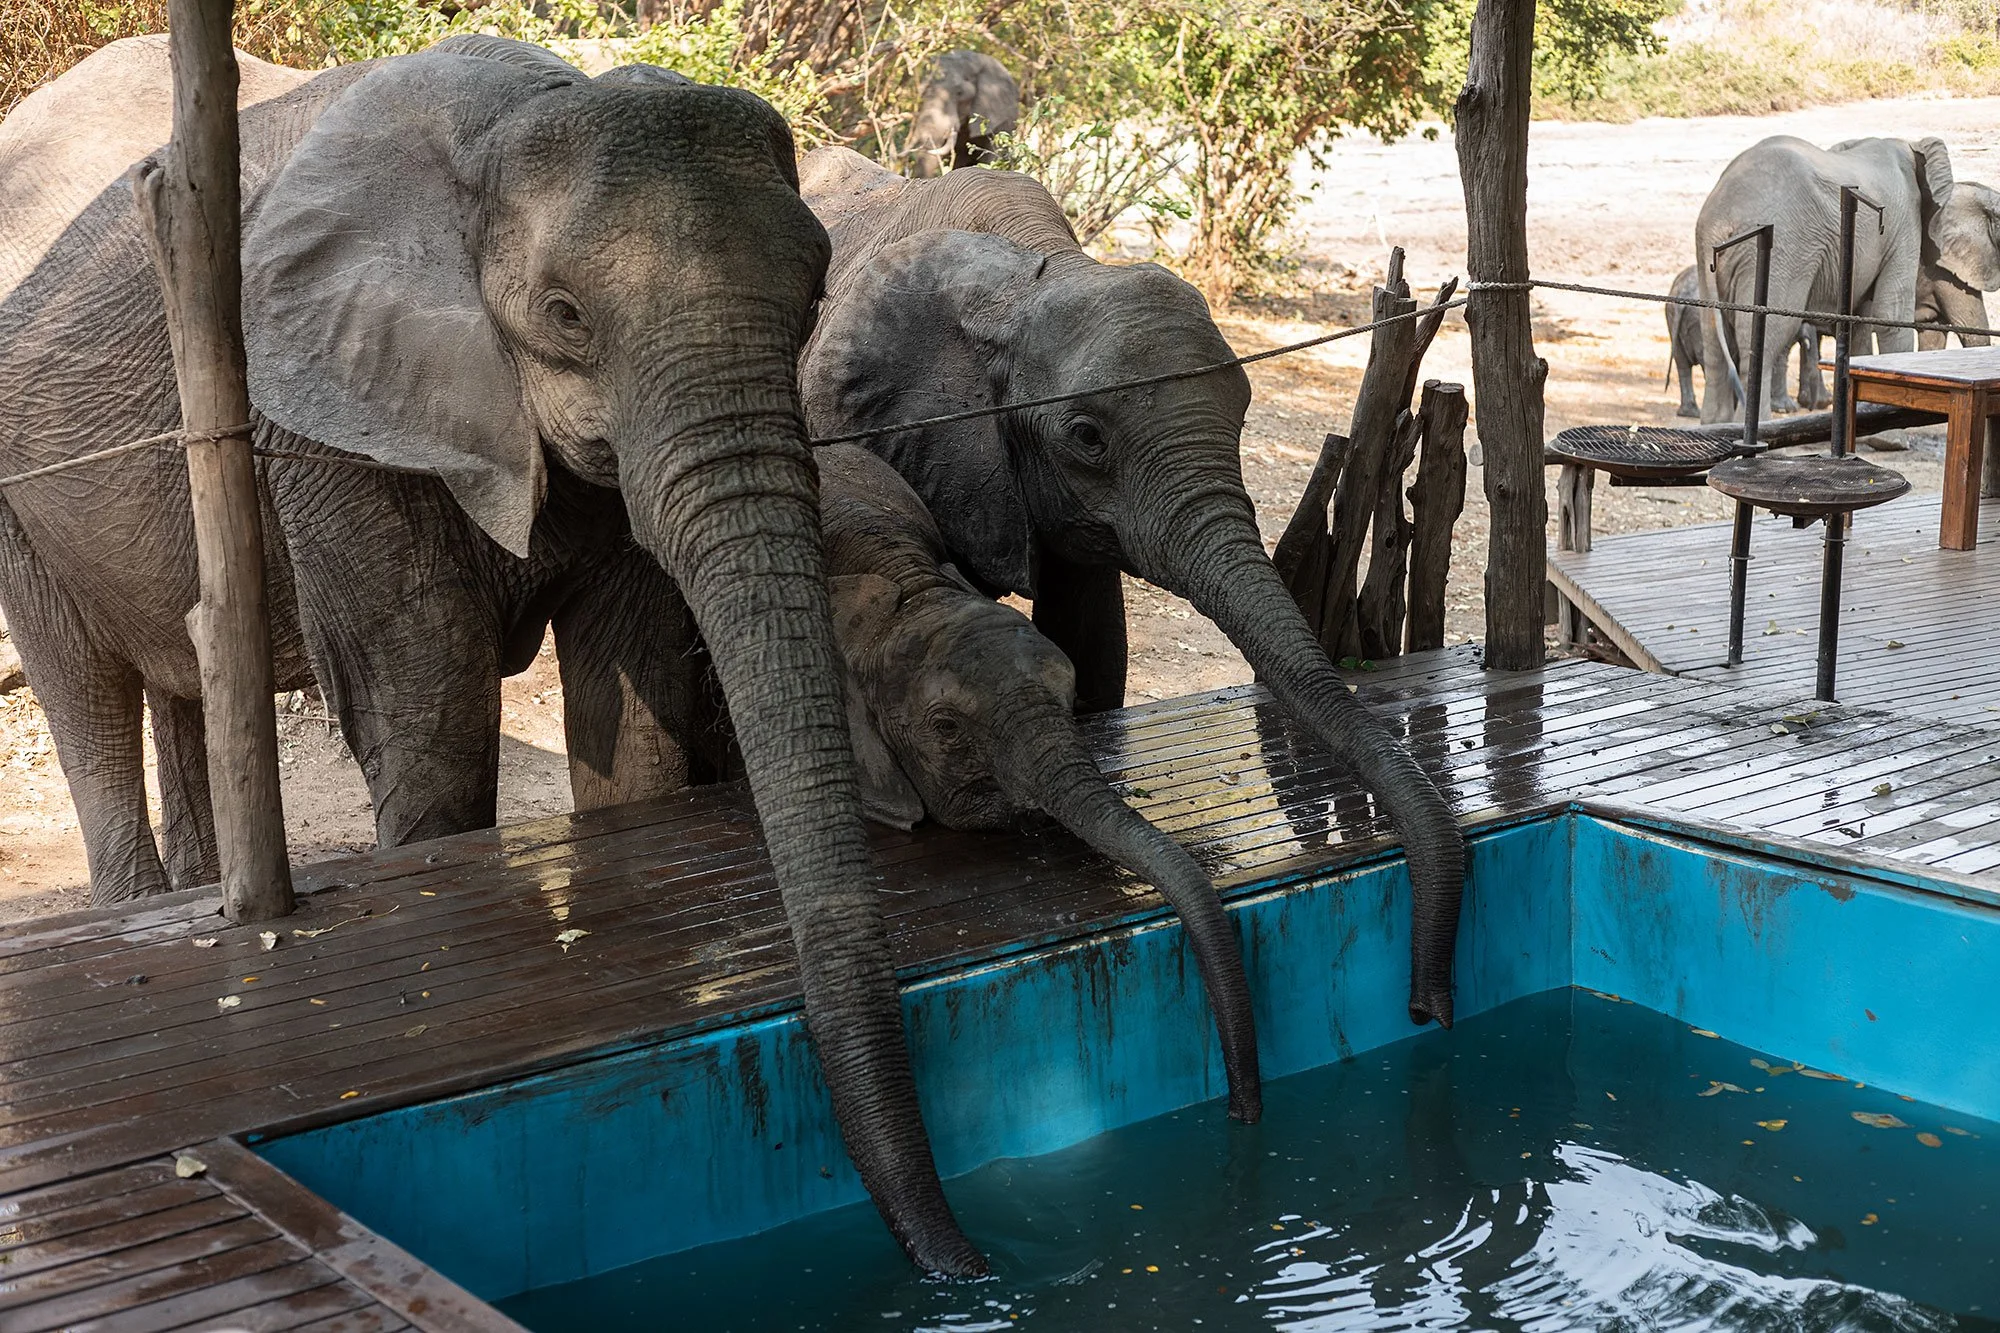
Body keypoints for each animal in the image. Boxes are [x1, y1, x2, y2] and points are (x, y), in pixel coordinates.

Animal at [0, 36, 984, 1275]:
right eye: (563, 315)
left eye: (812, 301)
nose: (963, 1269)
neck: (515, 119)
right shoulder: (320, 411)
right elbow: (429, 706)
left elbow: (631, 699)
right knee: (86, 695)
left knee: (177, 684)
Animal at [1664, 264, 1824, 418]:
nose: (1810, 408)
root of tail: (1683, 292)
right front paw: (1786, 408)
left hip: (1673, 317)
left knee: (1682, 364)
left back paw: (1690, 413)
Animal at [1695, 135, 2000, 424]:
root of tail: (1717, 219)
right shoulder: (1903, 224)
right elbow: (1891, 313)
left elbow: (1859, 322)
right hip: (1782, 248)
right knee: (1767, 334)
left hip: (1711, 261)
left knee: (1712, 334)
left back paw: (1716, 424)